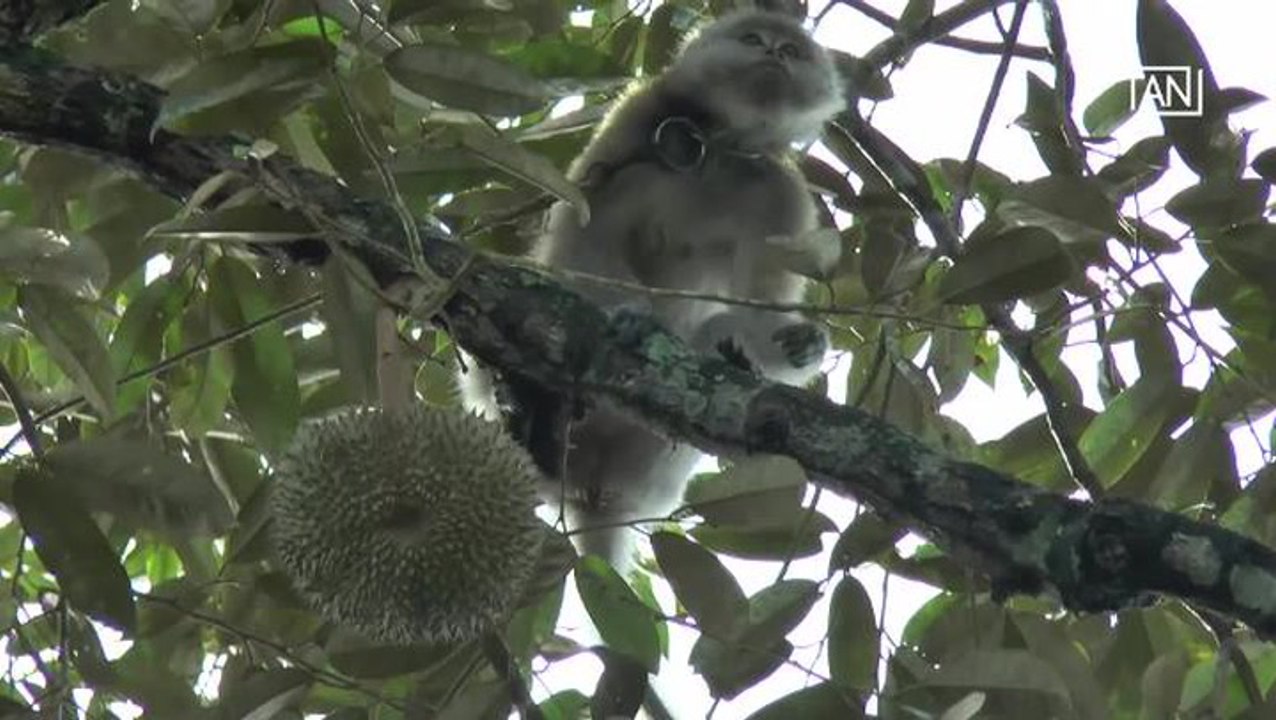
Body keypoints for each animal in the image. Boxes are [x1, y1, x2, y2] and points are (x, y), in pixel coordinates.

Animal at [462, 8, 844, 573]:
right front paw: (633, 318)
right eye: (752, 38)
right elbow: (582, 230)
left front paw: (800, 346)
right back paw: (528, 405)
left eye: (792, 51)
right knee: (629, 189)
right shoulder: (637, 111)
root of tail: (592, 494)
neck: (720, 146)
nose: (774, 52)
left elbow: (765, 299)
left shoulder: (782, 191)